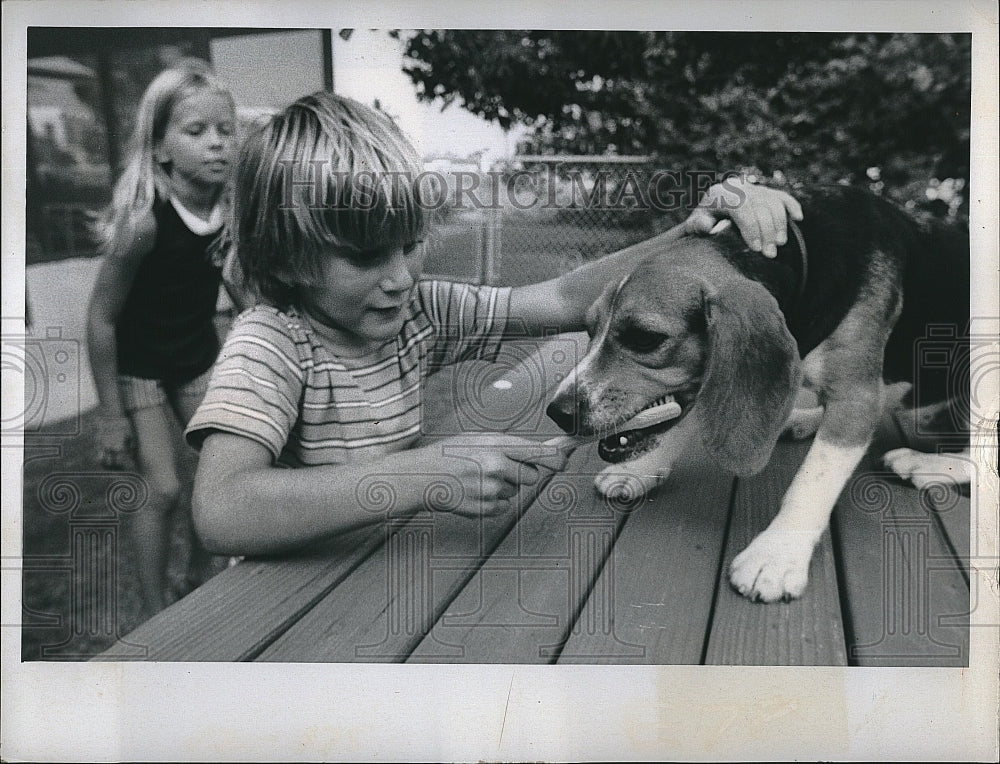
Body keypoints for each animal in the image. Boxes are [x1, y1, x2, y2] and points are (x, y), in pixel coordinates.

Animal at [548, 185, 968, 604]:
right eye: (589, 329)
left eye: (644, 338)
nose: (558, 412)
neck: (804, 258)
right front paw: (640, 469)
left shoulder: (858, 400)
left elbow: (813, 480)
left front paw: (776, 555)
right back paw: (804, 420)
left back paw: (923, 463)